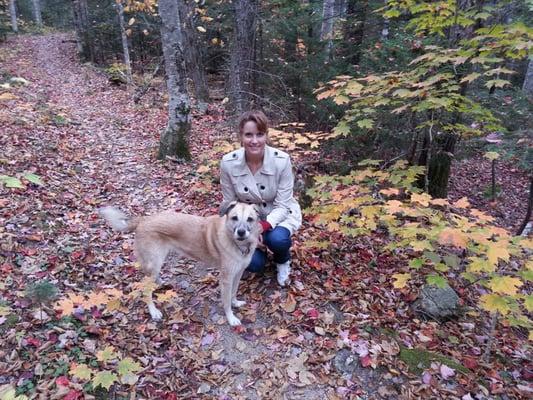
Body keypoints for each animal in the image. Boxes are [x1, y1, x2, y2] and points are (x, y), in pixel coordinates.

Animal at [98, 202, 260, 326]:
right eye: (234, 218)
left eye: (250, 219)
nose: (241, 232)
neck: (237, 243)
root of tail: (143, 220)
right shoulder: (226, 278)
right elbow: (226, 301)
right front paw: (231, 318)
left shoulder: (238, 273)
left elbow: (234, 292)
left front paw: (235, 303)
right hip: (154, 262)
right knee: (145, 289)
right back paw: (153, 311)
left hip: (157, 261)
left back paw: (160, 283)